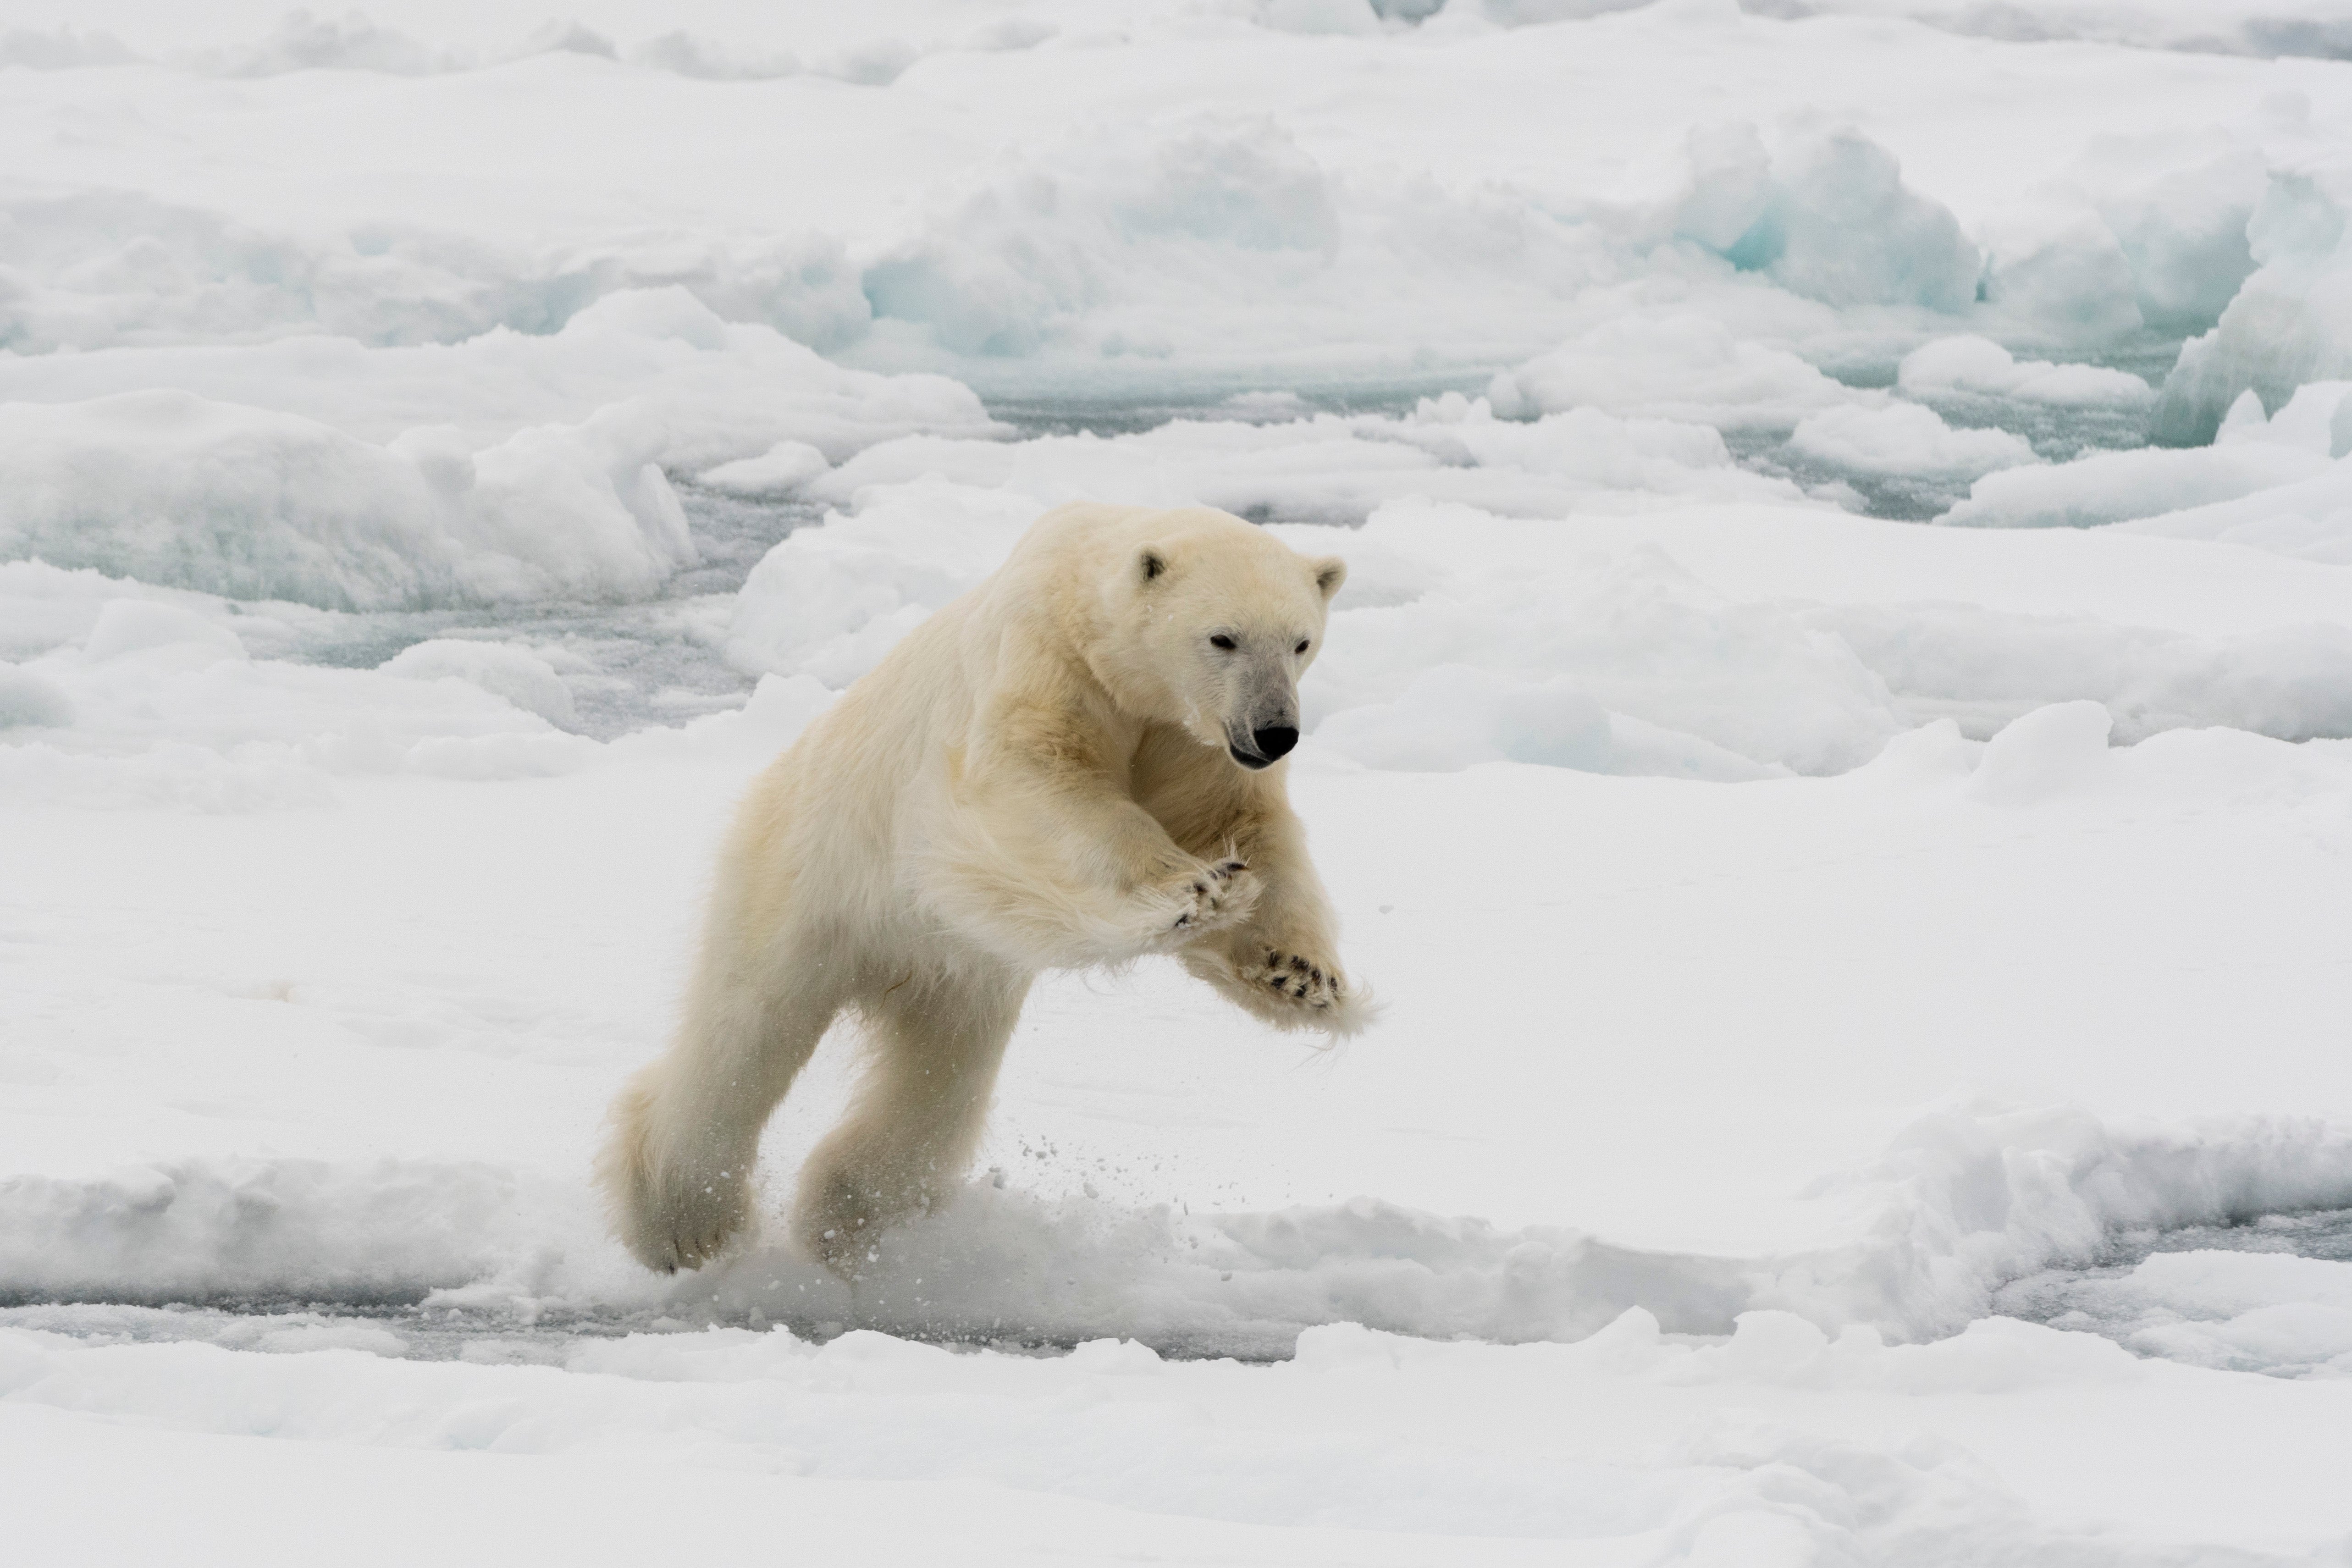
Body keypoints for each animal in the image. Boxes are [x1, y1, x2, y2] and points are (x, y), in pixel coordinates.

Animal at [597, 503, 1373, 1279]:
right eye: (1222, 637)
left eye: (1301, 642)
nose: (1275, 732)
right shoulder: (1044, 663)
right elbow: (1037, 780)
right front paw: (1197, 889)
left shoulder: (1191, 740)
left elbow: (1239, 823)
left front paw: (1301, 976)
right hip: (808, 871)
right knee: (749, 1030)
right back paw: (684, 1224)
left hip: (957, 971)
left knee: (938, 1078)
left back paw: (842, 1216)